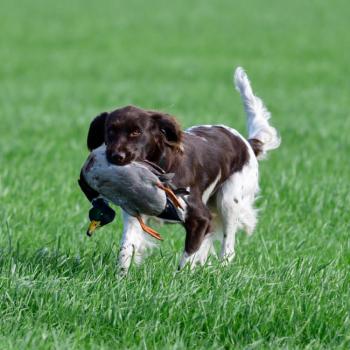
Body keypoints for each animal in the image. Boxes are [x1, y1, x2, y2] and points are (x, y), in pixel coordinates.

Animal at [83, 67, 280, 270]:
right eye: (110, 131)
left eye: (136, 132)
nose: (117, 156)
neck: (162, 166)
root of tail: (247, 143)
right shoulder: (135, 214)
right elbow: (126, 248)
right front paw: (121, 275)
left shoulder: (200, 218)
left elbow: (188, 256)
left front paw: (181, 277)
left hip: (229, 200)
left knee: (228, 246)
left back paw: (221, 268)